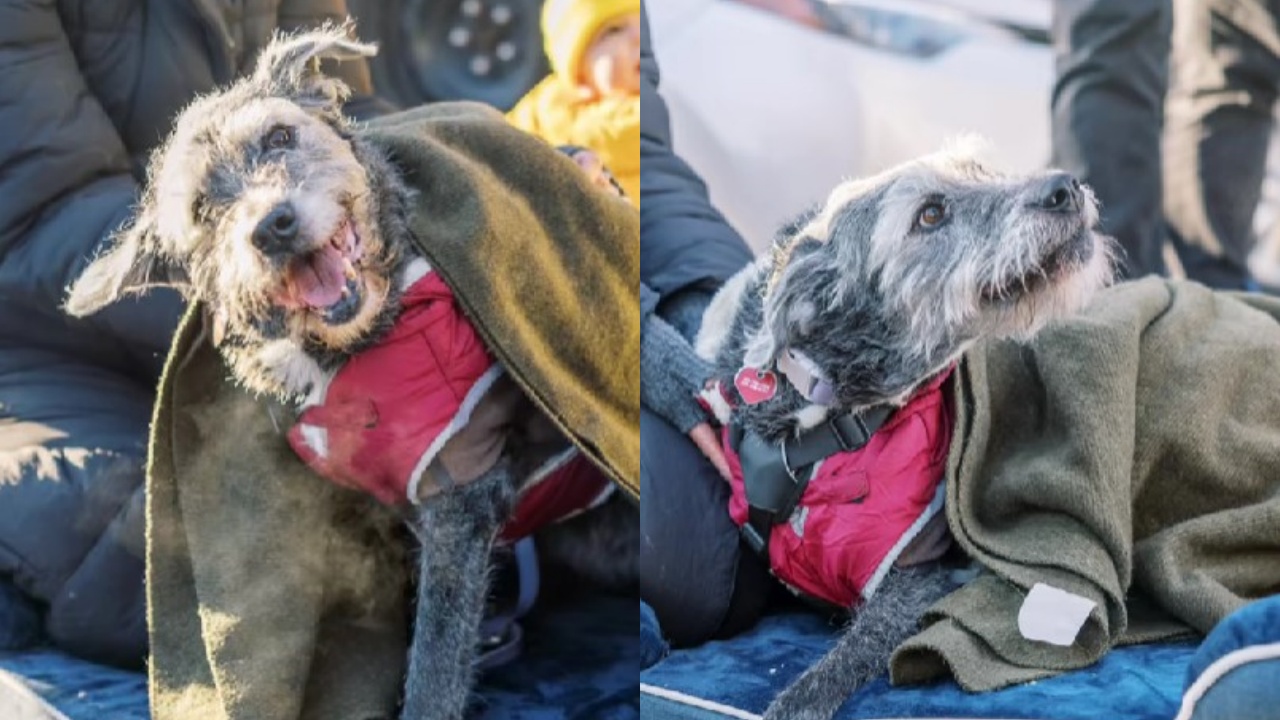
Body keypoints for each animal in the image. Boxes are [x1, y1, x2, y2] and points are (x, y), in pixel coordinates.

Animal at [64, 25, 634, 717]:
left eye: (280, 136)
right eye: (201, 208)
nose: (273, 226)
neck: (356, 348)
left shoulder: (458, 498)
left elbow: (434, 672)